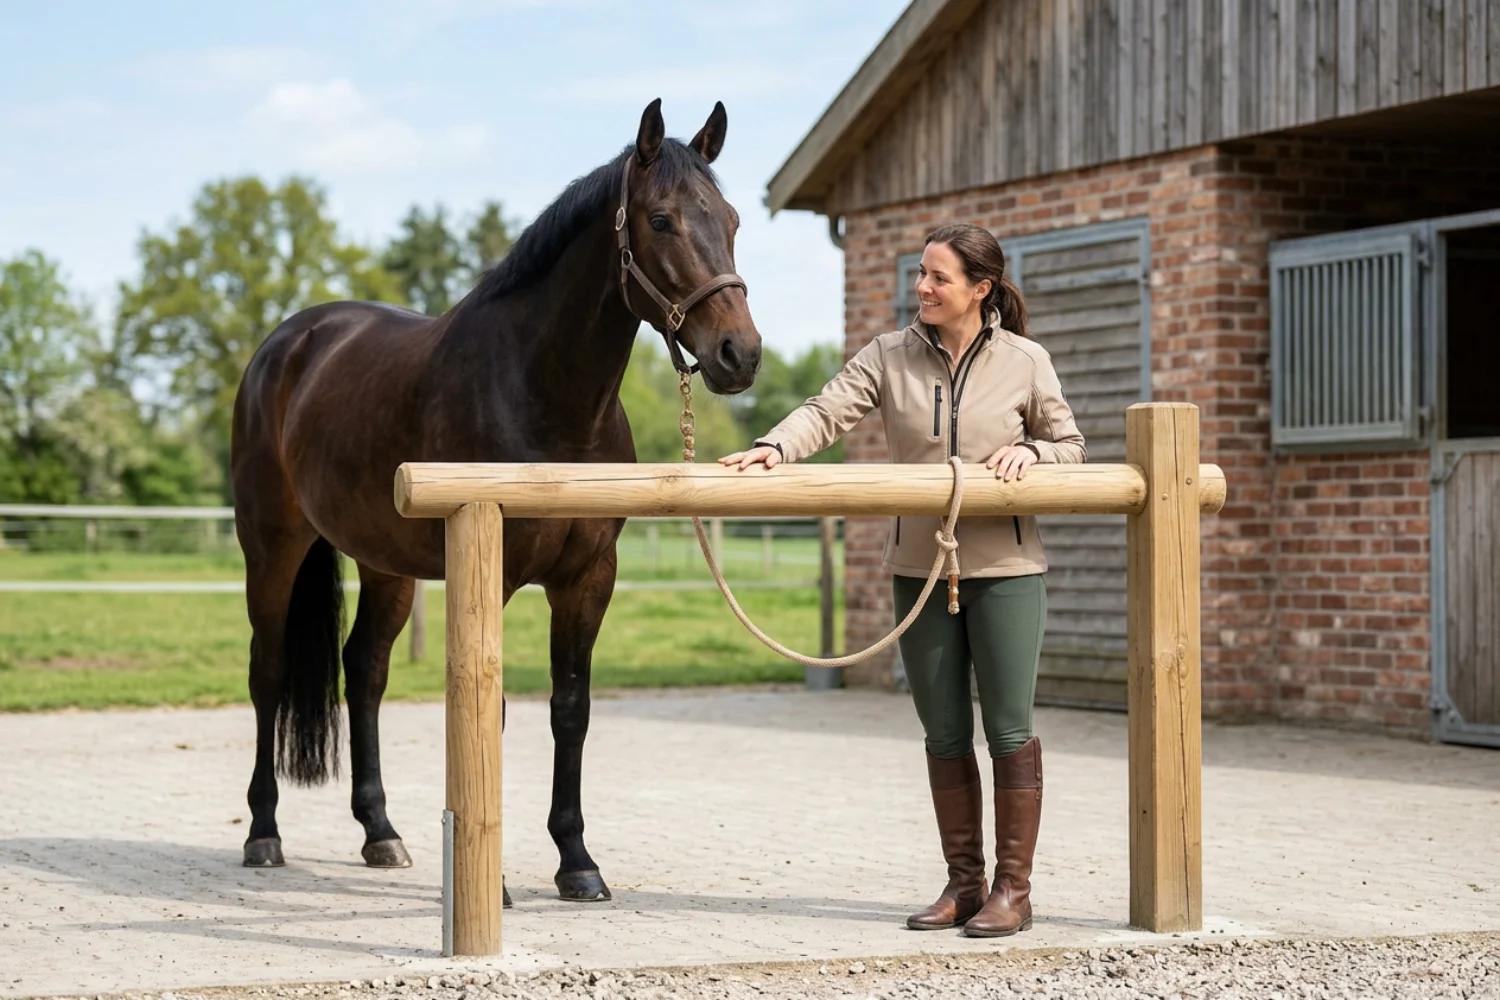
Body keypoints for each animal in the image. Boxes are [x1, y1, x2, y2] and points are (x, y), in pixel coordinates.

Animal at [229, 99, 762, 904]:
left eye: (729, 219)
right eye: (662, 219)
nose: (741, 354)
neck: (547, 398)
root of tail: (289, 342)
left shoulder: (588, 579)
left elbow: (570, 709)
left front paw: (577, 862)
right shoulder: (497, 571)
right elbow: (497, 711)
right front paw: (500, 883)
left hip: (387, 564)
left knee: (365, 671)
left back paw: (381, 834)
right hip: (272, 549)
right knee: (268, 671)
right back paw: (263, 834)